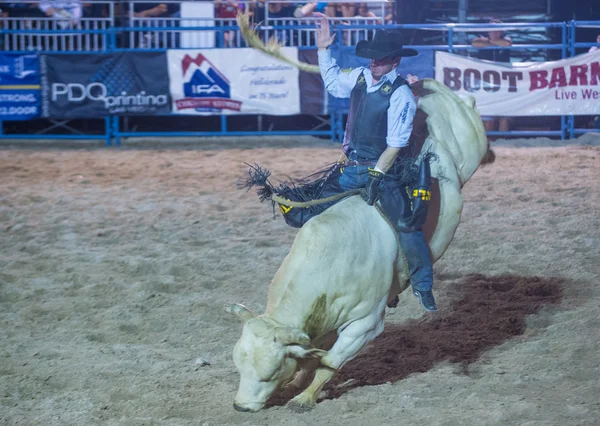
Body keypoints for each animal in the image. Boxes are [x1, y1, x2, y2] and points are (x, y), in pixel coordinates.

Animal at [225, 78, 492, 412]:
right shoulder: (322, 322)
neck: (329, 265)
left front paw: (305, 397)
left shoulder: (364, 325)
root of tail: (428, 89)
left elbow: (330, 362)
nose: (241, 406)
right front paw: (299, 381)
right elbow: (312, 354)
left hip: (470, 142)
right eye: (238, 364)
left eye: (270, 373)